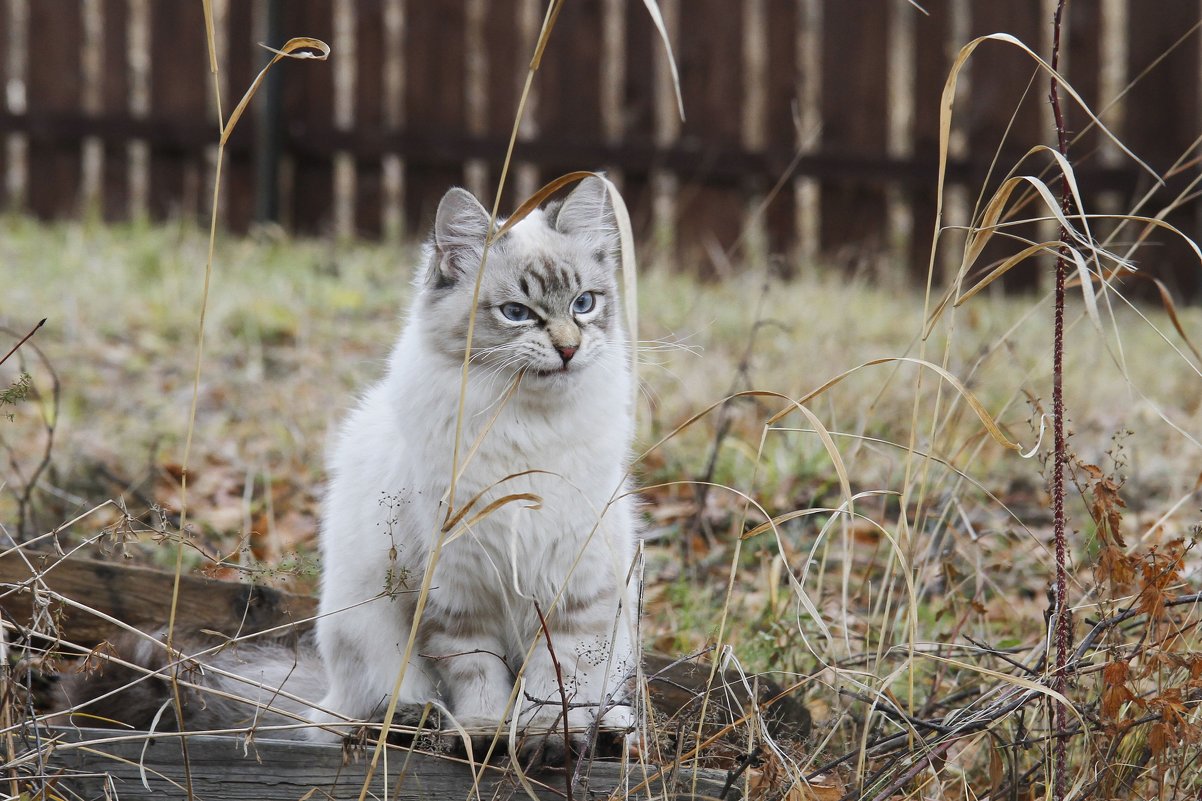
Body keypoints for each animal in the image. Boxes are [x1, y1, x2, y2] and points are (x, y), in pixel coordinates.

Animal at [307, 174, 639, 750]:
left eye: (584, 303)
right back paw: (416, 720)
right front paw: (486, 734)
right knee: (370, 707)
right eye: (517, 313)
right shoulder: (457, 592)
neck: (527, 428)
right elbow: (479, 674)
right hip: (365, 632)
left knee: (601, 697)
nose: (569, 350)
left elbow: (557, 679)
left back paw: (611, 730)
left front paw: (547, 738)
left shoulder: (573, 584)